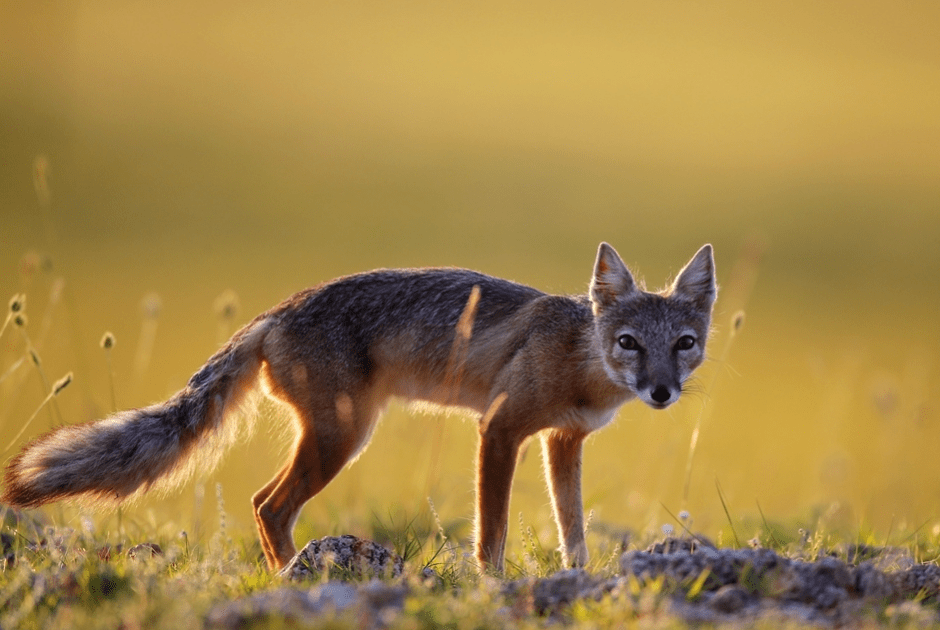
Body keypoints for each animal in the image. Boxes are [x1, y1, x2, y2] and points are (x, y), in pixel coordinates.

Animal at [1, 244, 720, 576]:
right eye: (629, 343)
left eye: (683, 345)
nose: (661, 391)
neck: (579, 356)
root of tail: (275, 311)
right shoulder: (499, 429)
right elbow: (492, 530)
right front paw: (492, 584)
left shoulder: (562, 442)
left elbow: (573, 527)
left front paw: (577, 579)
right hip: (341, 440)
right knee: (267, 504)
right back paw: (292, 576)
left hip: (334, 439)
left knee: (264, 502)